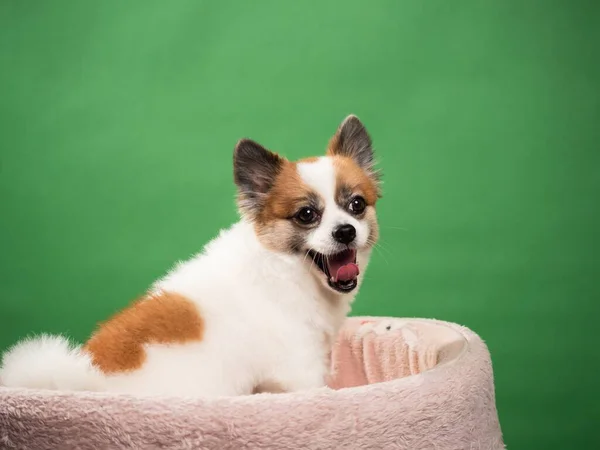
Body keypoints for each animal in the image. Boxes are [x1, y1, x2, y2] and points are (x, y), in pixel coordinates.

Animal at [0, 114, 382, 396]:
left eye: (356, 205)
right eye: (306, 215)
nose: (345, 231)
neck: (286, 269)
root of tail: (89, 380)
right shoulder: (299, 368)